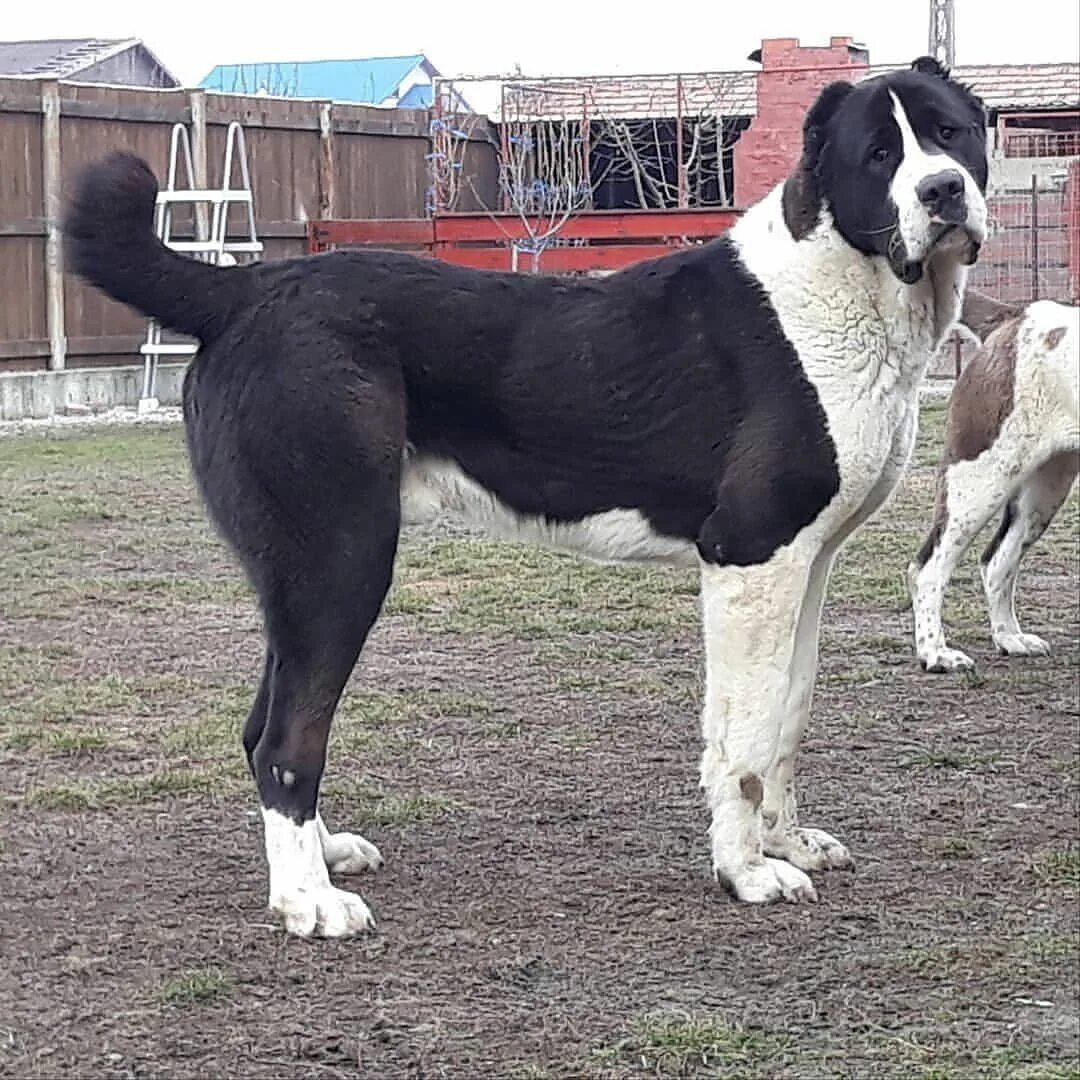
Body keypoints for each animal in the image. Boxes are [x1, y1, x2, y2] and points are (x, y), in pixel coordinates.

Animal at [65, 56, 989, 937]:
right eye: (879, 155)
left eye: (951, 133)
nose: (944, 190)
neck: (843, 280)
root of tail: (244, 290)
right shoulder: (749, 559)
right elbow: (744, 738)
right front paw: (747, 872)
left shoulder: (808, 562)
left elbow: (788, 716)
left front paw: (786, 843)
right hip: (339, 564)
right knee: (289, 737)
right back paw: (306, 903)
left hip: (299, 578)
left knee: (265, 724)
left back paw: (322, 857)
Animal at [911, 291, 1080, 669]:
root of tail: (1014, 317)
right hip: (977, 483)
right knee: (927, 568)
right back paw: (935, 652)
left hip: (1042, 492)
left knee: (997, 563)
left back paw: (1009, 638)